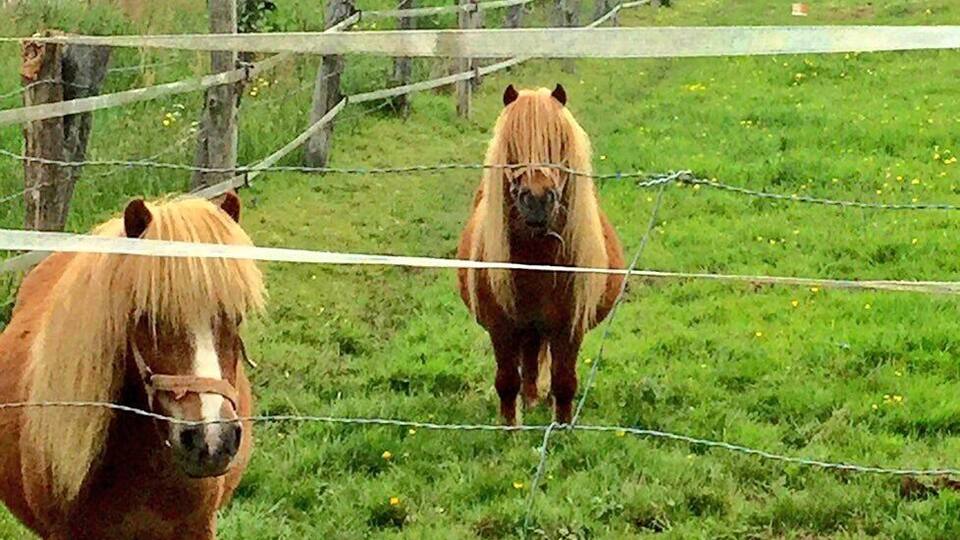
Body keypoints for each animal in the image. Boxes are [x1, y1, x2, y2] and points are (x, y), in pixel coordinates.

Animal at [457, 84, 625, 426]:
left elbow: (564, 381)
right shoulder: (502, 327)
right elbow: (507, 381)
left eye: (559, 141)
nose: (536, 201)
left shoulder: (569, 328)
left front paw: (561, 428)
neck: (537, 257)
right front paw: (510, 429)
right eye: (512, 144)